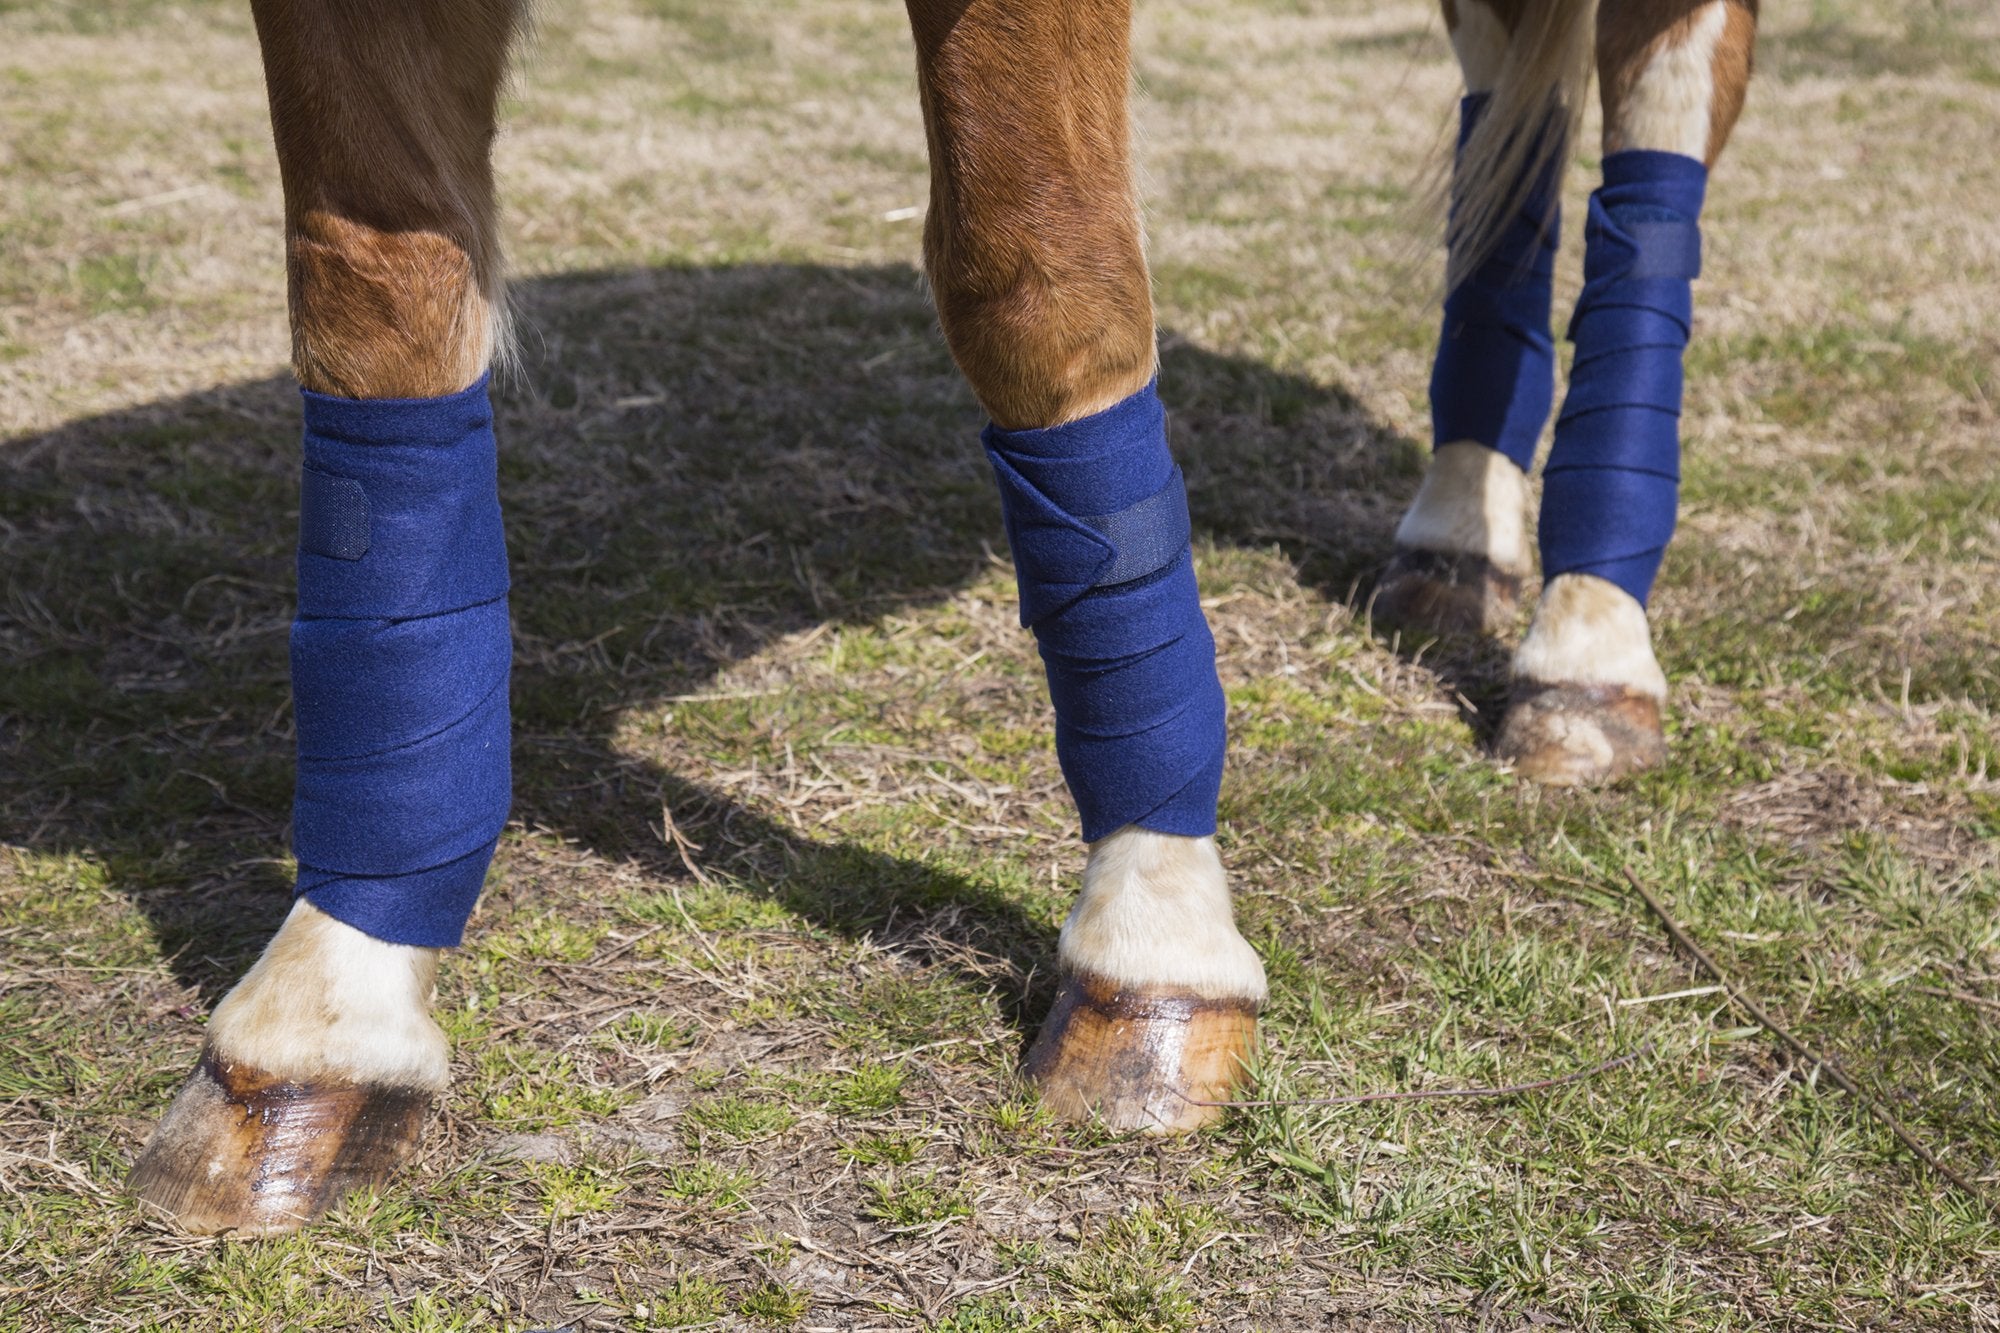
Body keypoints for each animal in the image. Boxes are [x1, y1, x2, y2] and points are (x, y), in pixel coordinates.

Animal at [124, 0, 1758, 1235]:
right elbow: (377, 305)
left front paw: (1153, 943)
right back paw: (1456, 541)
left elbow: (1041, 278)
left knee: (1664, 112)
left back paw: (1586, 651)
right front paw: (327, 1012)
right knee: (1509, 105)